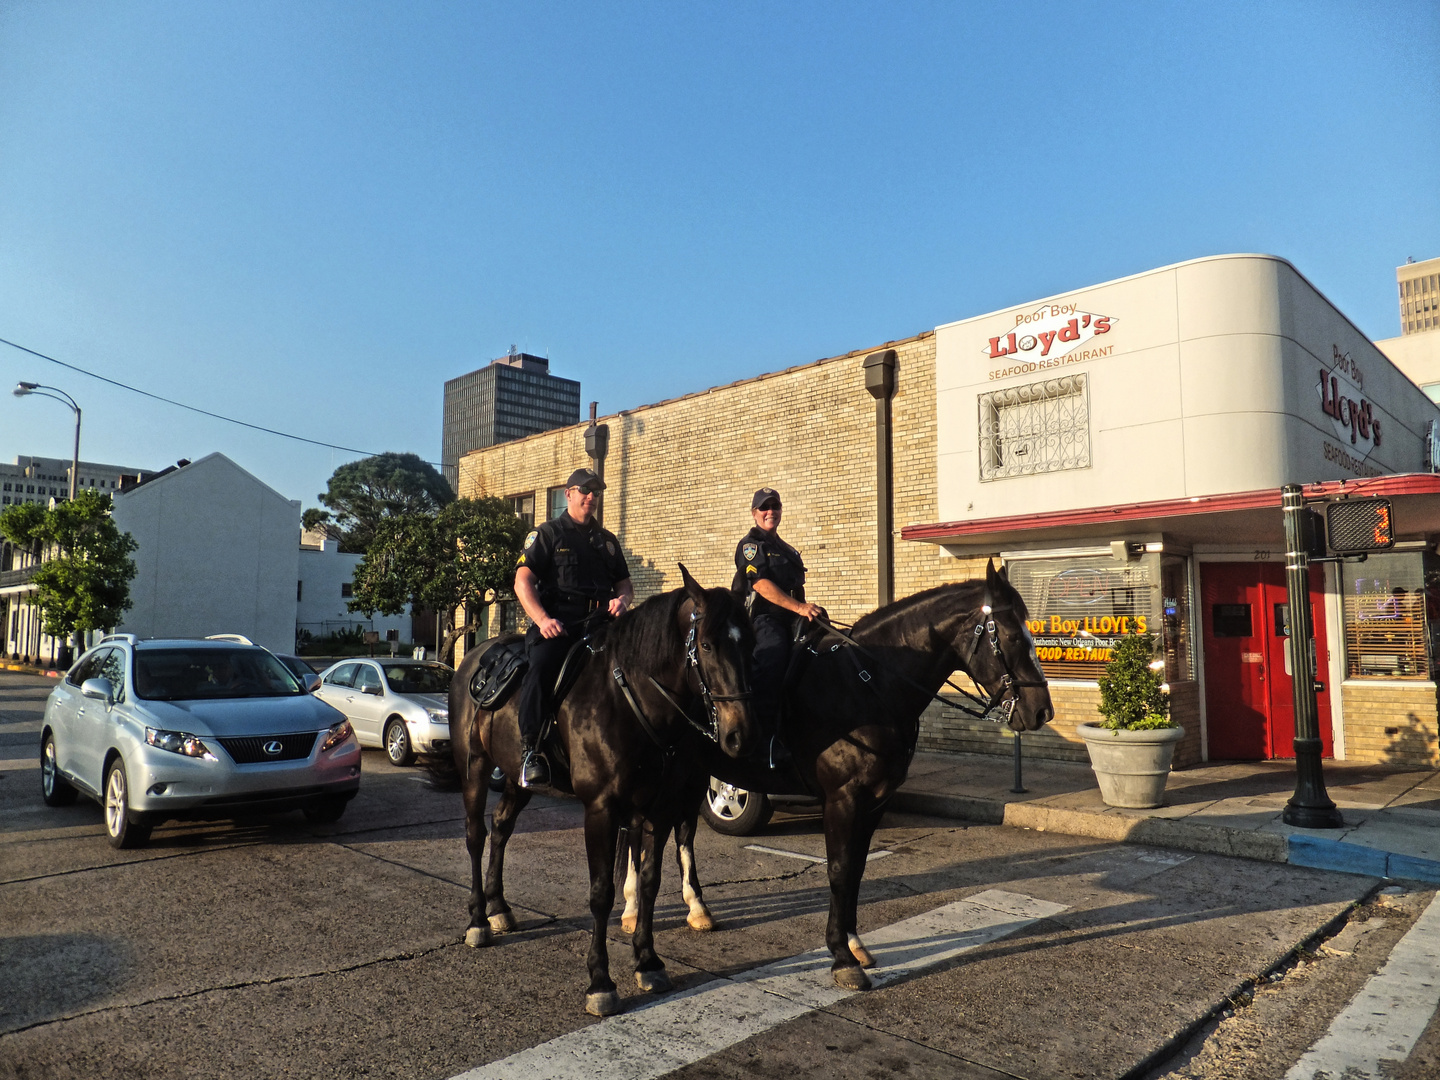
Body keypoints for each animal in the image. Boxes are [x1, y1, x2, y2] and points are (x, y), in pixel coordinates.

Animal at [440, 570, 754, 1019]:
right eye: (708, 645)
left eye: (750, 643)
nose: (738, 735)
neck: (631, 700)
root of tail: (473, 656)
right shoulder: (602, 810)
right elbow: (602, 893)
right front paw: (600, 982)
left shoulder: (658, 808)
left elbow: (650, 881)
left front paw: (648, 961)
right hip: (475, 769)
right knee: (475, 835)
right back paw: (478, 921)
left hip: (518, 780)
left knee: (500, 828)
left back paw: (499, 909)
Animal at [636, 561, 1054, 996]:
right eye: (1011, 636)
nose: (1042, 710)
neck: (868, 684)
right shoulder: (843, 797)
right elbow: (838, 868)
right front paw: (841, 956)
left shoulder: (875, 800)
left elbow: (856, 868)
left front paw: (854, 943)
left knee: (677, 833)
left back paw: (690, 909)